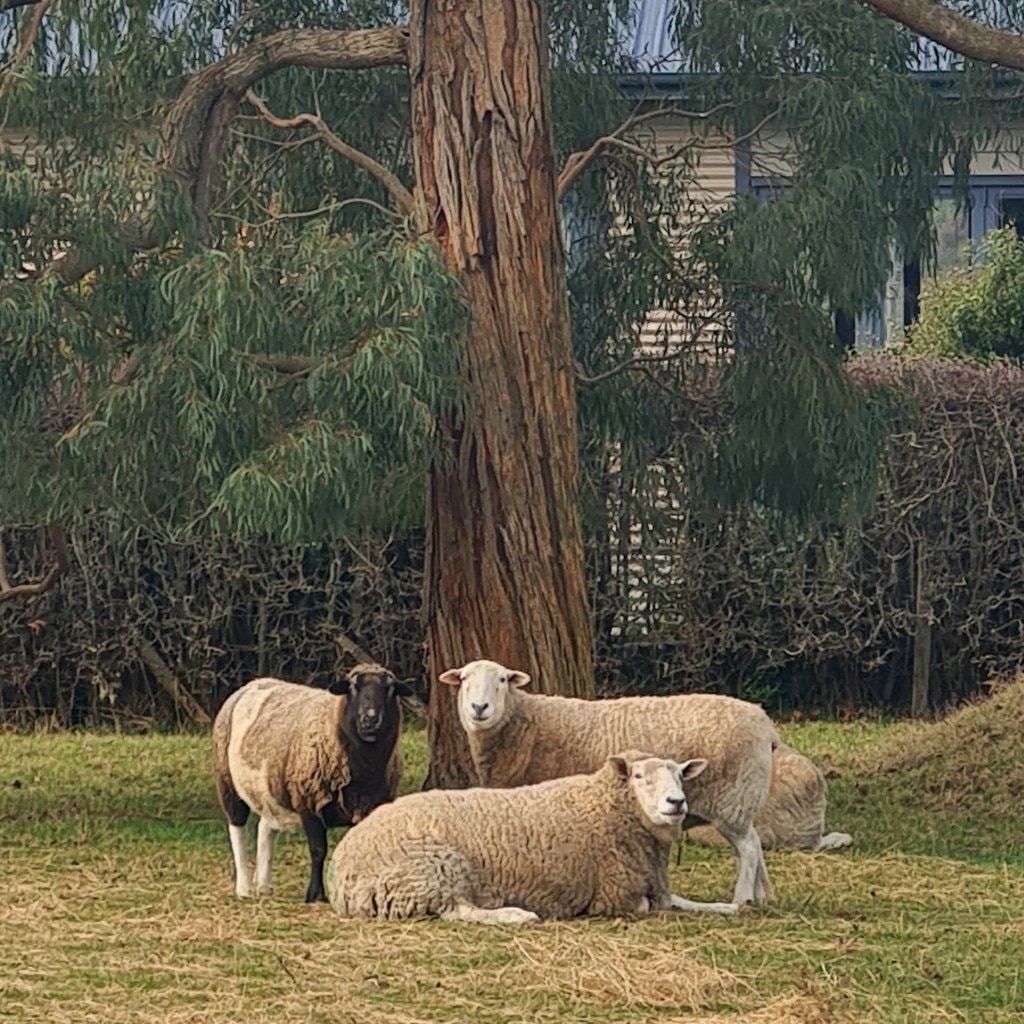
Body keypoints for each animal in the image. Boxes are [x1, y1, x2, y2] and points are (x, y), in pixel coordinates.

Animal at [211, 663, 412, 903]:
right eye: (353, 687)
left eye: (390, 689)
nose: (370, 719)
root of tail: (252, 683)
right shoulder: (308, 801)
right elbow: (318, 850)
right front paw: (315, 895)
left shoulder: (369, 806)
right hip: (227, 781)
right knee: (237, 828)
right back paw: (244, 888)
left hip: (271, 790)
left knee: (265, 827)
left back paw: (264, 885)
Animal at [326, 750, 739, 923]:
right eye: (639, 777)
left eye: (681, 775)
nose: (677, 802)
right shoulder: (612, 896)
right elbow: (646, 907)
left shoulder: (654, 884)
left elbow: (680, 901)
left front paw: (726, 906)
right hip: (431, 871)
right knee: (457, 911)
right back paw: (516, 914)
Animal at [439, 659, 778, 907]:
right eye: (464, 679)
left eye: (502, 680)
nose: (479, 708)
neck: (525, 724)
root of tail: (765, 723)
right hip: (743, 799)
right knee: (755, 842)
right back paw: (762, 896)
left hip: (732, 799)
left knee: (749, 848)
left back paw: (742, 899)